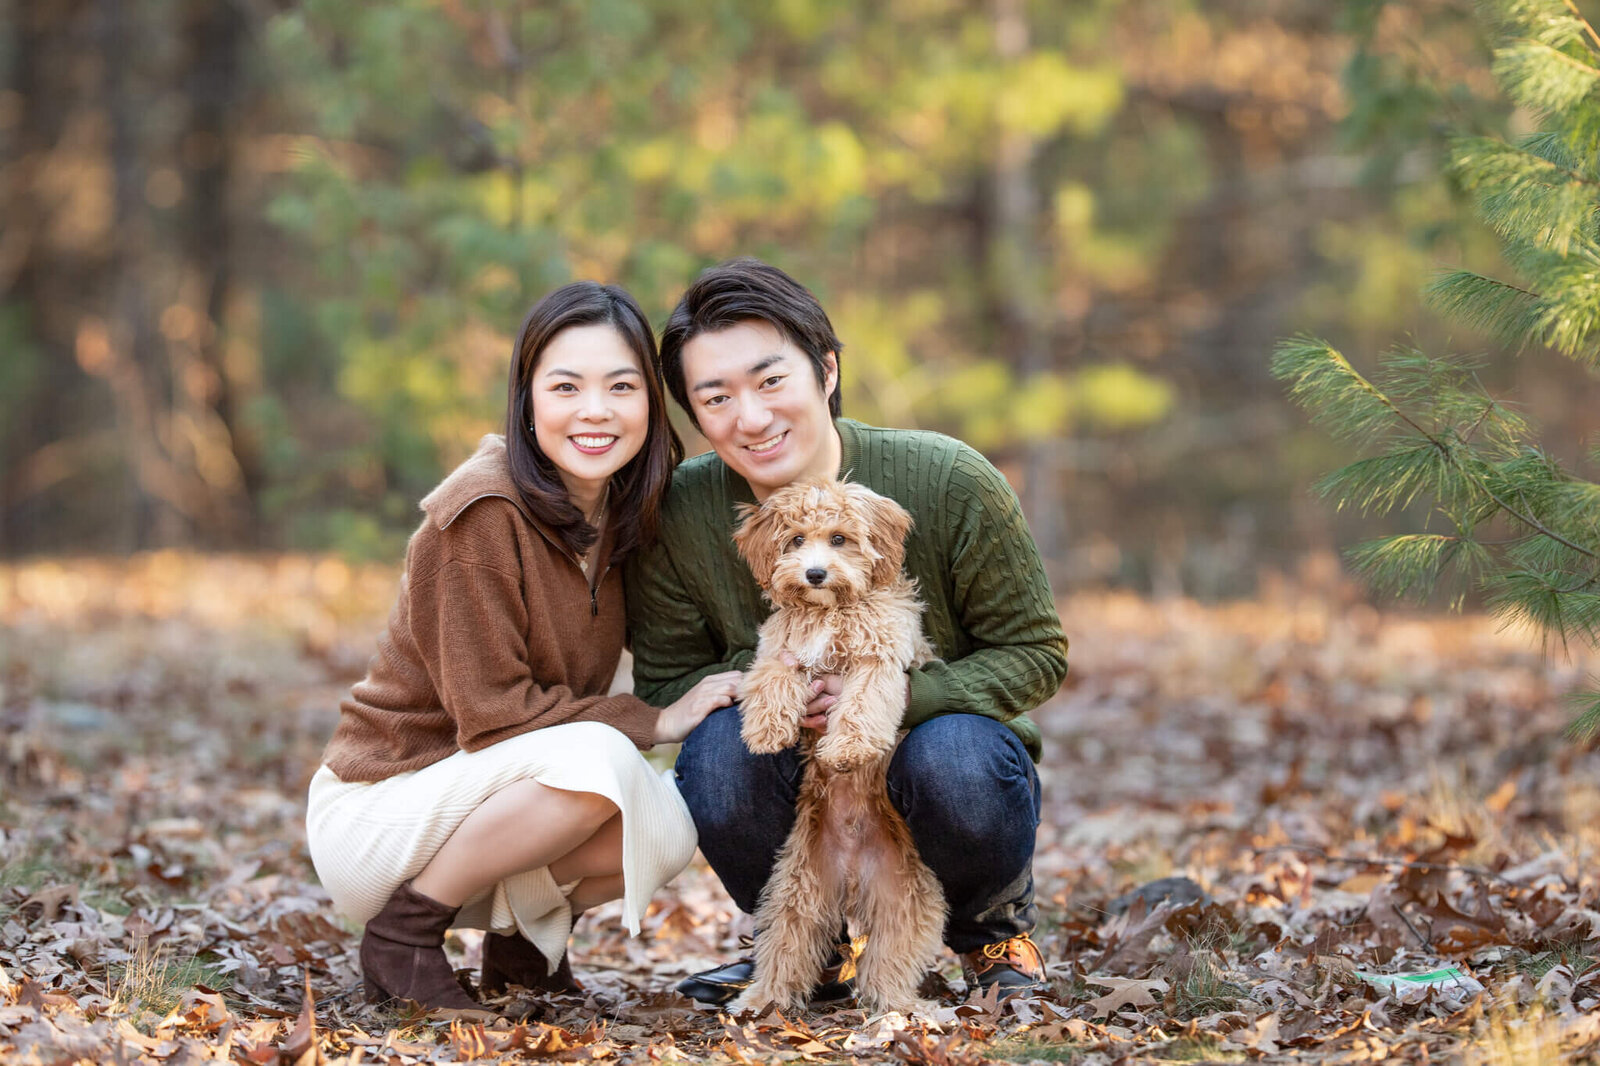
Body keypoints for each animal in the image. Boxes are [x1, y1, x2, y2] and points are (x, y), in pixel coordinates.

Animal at [732, 473, 940, 1011]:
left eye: (840, 538)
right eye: (795, 540)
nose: (815, 574)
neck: (828, 612)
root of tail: (849, 874)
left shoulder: (879, 660)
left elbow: (863, 704)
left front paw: (847, 750)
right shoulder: (782, 648)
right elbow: (771, 676)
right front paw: (765, 729)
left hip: (902, 900)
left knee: (889, 961)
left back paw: (900, 1008)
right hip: (795, 892)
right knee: (786, 948)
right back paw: (761, 1000)